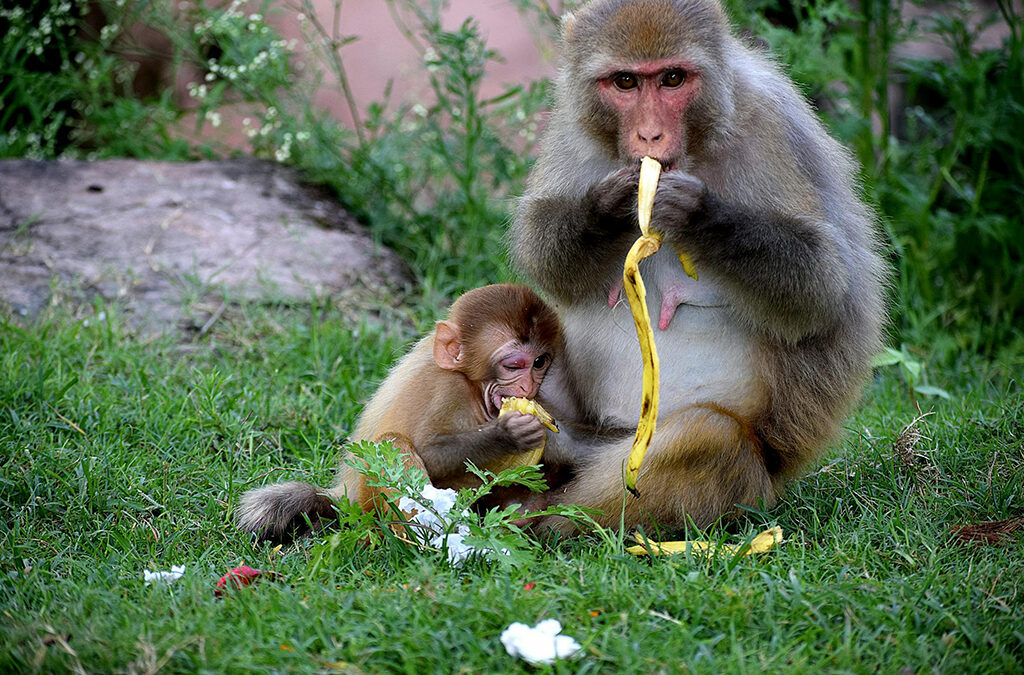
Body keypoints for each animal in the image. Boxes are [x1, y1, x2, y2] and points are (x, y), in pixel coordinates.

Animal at [236, 284, 564, 543]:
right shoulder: (445, 389)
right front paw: (507, 434)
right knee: (392, 443)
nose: (528, 385)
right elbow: (428, 452)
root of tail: (347, 497)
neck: (473, 389)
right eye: (513, 365)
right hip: (370, 499)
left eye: (539, 362)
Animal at [509, 0, 888, 534]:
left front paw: (696, 214)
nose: (649, 134)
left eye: (672, 78)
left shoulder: (770, 124)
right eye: (625, 82)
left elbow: (825, 284)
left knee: (707, 436)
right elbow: (541, 246)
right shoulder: (574, 124)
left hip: (740, 484)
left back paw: (549, 518)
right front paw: (608, 207)